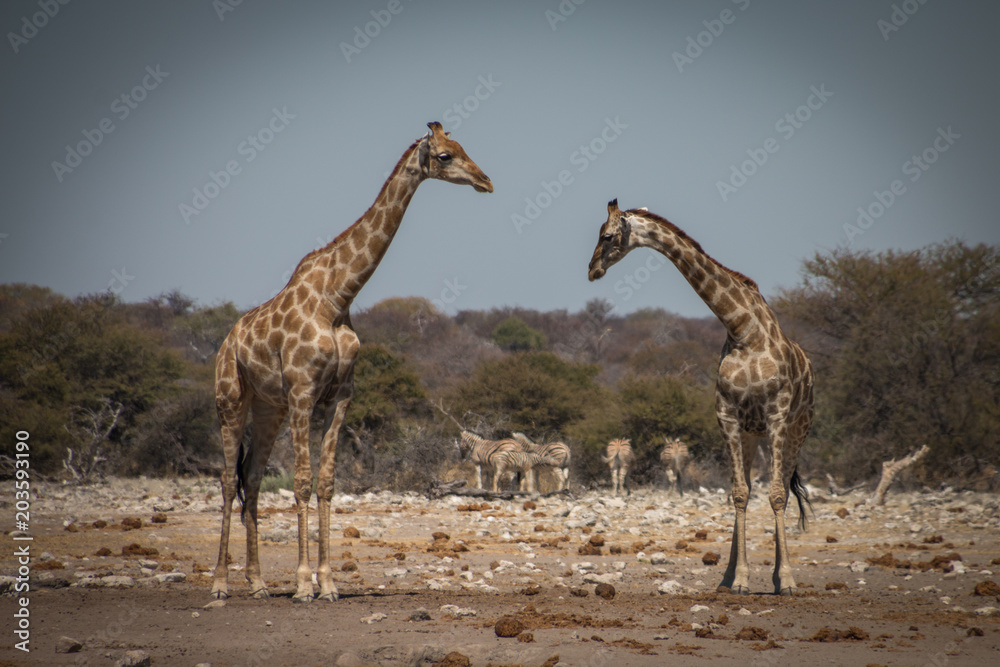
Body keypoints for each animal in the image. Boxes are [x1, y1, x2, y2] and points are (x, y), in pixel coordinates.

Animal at [211, 122, 492, 603]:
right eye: (445, 156)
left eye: (463, 147)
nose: (486, 181)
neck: (337, 297)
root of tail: (227, 343)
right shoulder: (304, 390)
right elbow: (302, 481)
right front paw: (303, 584)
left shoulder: (341, 395)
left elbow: (326, 482)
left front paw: (328, 583)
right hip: (231, 399)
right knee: (230, 479)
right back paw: (220, 584)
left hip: (269, 407)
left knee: (252, 476)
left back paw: (259, 582)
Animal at [588, 199, 813, 596]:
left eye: (608, 235)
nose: (591, 269)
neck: (743, 330)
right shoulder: (727, 414)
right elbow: (738, 493)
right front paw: (738, 579)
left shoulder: (776, 413)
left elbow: (776, 494)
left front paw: (785, 580)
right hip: (751, 434)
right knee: (749, 487)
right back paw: (733, 577)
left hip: (797, 428)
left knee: (784, 489)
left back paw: (778, 577)